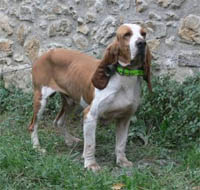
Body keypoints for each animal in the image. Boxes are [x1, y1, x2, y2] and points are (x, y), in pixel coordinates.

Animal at [28, 23, 152, 171]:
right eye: (126, 35)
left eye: (144, 34)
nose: (142, 43)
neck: (125, 78)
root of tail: (46, 54)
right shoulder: (90, 116)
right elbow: (90, 145)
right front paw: (91, 164)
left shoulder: (124, 118)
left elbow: (121, 144)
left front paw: (122, 161)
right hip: (41, 100)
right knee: (33, 125)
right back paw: (37, 147)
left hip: (72, 102)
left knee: (58, 121)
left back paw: (69, 140)